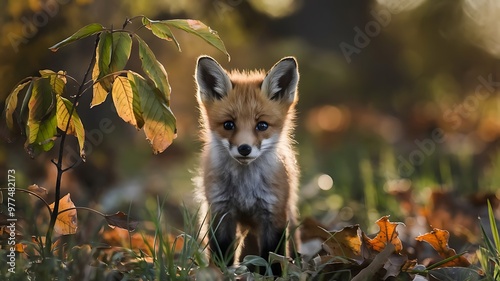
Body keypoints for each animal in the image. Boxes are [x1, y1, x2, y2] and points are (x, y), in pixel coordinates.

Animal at [193, 55, 298, 274]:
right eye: (228, 125)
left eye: (262, 126)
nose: (244, 149)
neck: (245, 188)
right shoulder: (221, 212)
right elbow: (221, 255)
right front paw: (219, 275)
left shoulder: (273, 213)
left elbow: (274, 257)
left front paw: (273, 276)